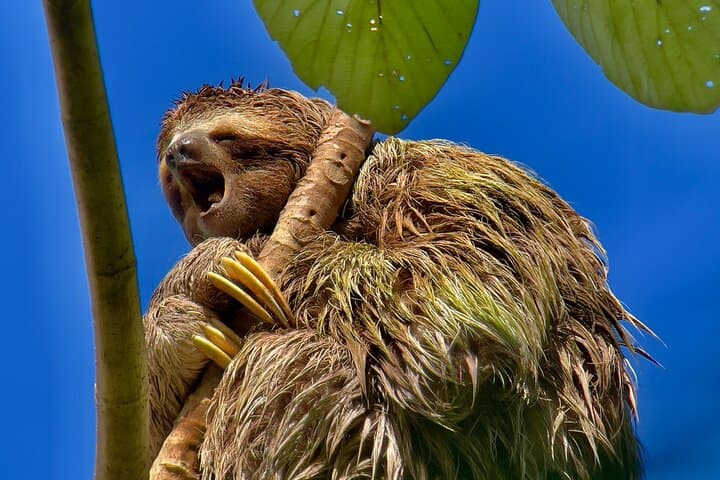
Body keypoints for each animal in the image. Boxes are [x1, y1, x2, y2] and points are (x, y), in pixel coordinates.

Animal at [145, 81, 650, 479]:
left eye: (225, 135)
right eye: (169, 177)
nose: (179, 150)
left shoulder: (432, 171)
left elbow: (461, 308)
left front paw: (247, 249)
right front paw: (179, 308)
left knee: (288, 360)